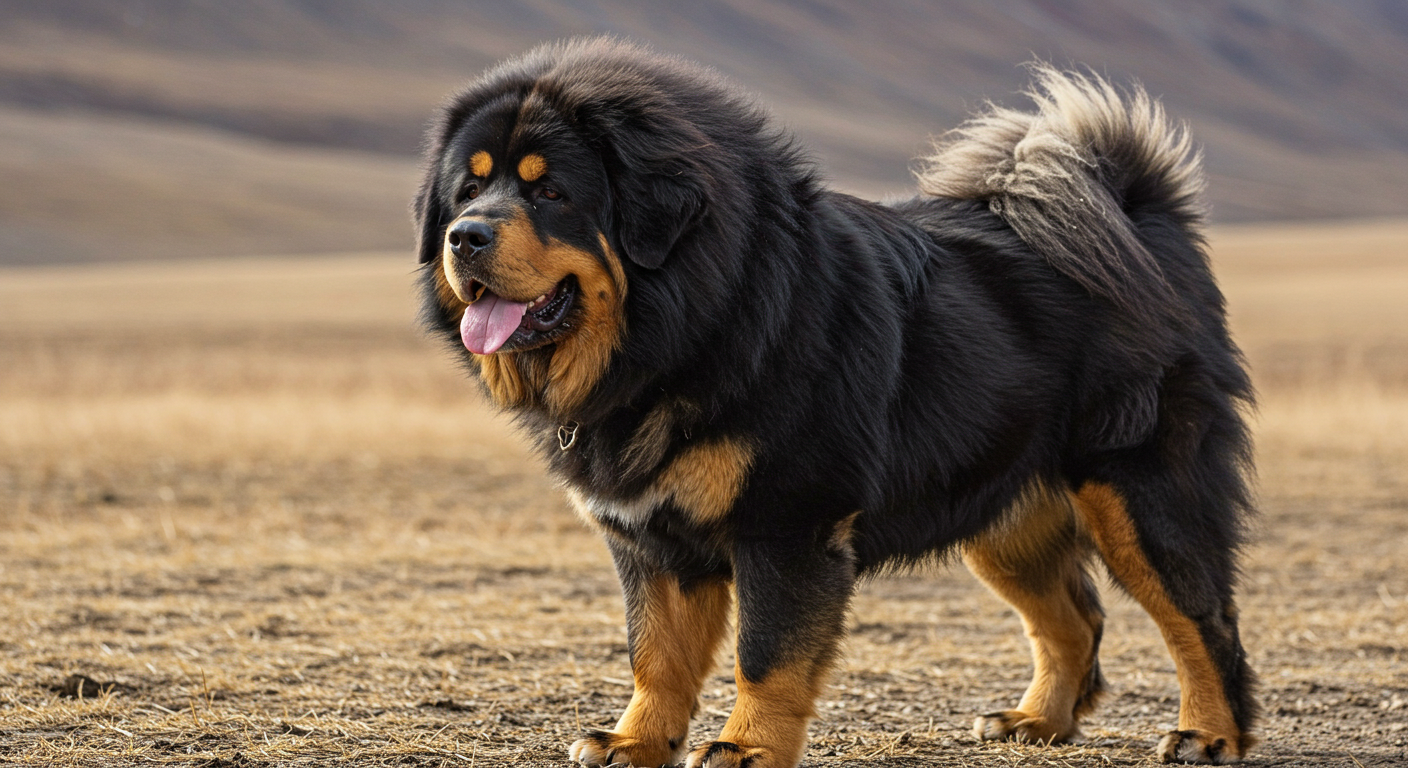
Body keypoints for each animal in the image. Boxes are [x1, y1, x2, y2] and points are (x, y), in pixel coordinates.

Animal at [411, 37, 1261, 766]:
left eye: (551, 191)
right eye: (468, 188)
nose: (465, 236)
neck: (693, 326)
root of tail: (1139, 216)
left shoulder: (787, 522)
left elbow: (766, 655)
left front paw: (746, 748)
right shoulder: (649, 538)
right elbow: (655, 653)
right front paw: (636, 742)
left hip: (1136, 492)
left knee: (1201, 619)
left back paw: (1207, 734)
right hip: (1004, 514)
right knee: (1073, 621)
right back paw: (1036, 722)